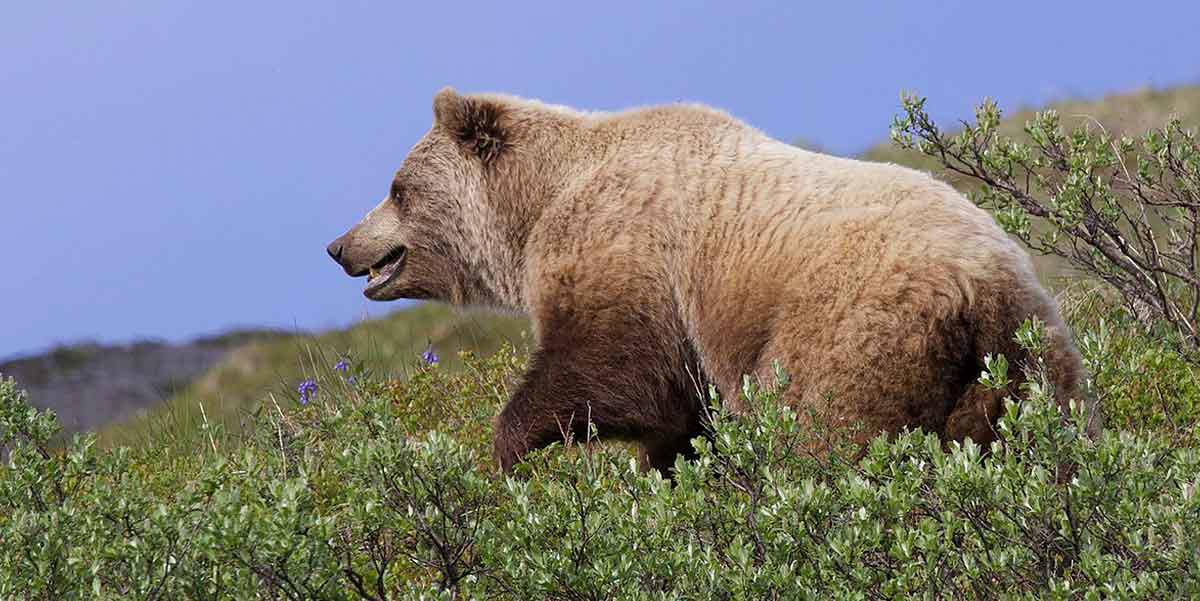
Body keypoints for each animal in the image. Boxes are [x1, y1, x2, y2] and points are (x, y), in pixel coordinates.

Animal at [327, 87, 1100, 474]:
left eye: (396, 188)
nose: (340, 245)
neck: (535, 208)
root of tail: (981, 287)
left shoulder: (626, 251)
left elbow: (613, 368)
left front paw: (507, 450)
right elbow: (681, 419)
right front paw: (674, 475)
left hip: (855, 330)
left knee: (822, 437)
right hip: (1029, 367)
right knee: (1046, 448)